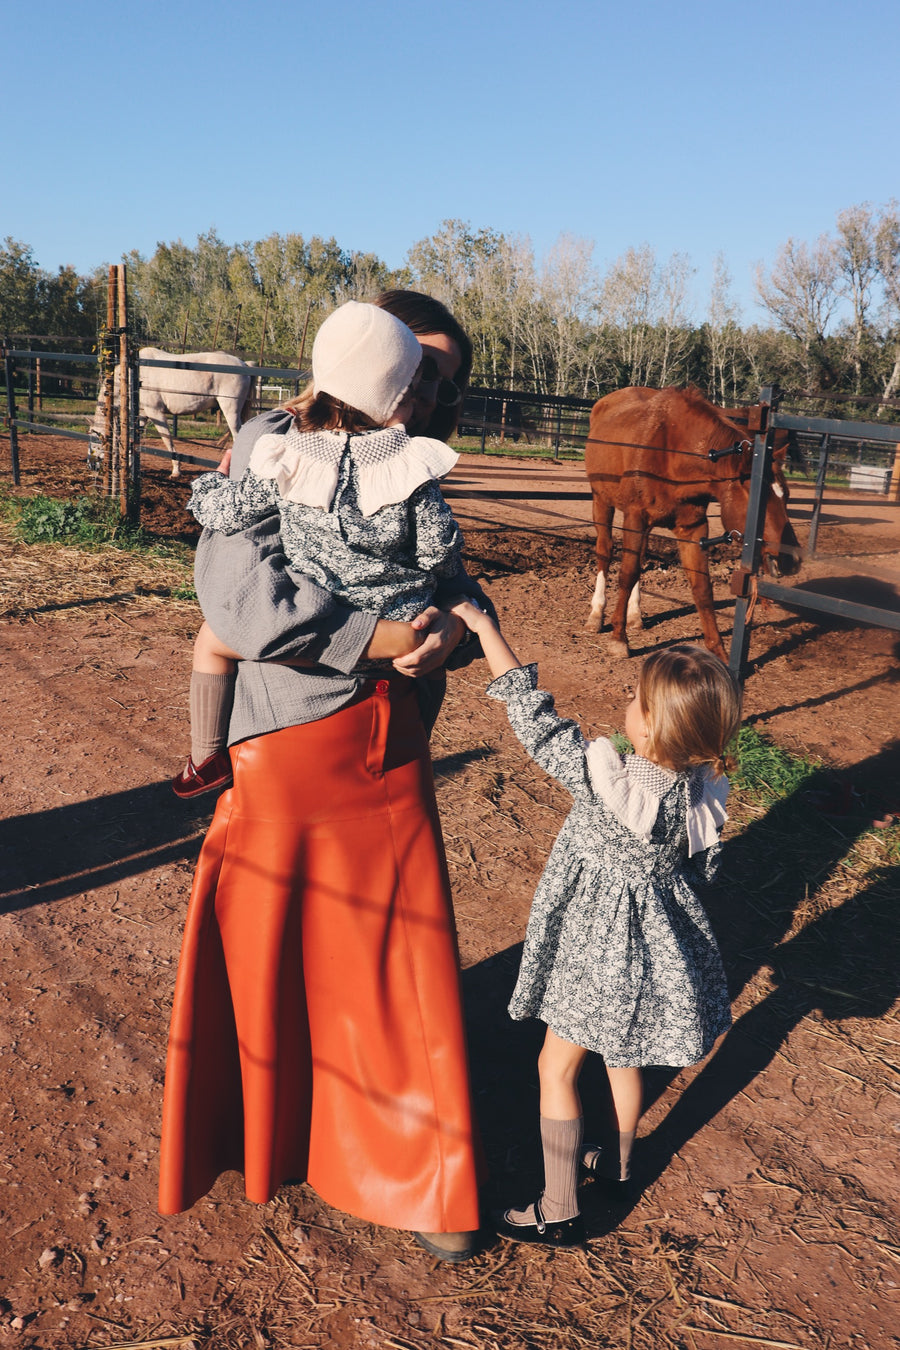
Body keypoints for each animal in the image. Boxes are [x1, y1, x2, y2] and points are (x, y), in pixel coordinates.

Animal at [91, 351, 252, 477]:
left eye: (94, 439)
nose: (91, 465)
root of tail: (244, 364)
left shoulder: (156, 413)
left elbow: (167, 439)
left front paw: (176, 470)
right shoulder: (142, 414)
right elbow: (134, 438)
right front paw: (129, 465)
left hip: (230, 411)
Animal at [585, 388, 804, 661]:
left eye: (786, 496)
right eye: (759, 500)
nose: (791, 559)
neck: (673, 453)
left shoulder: (692, 528)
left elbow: (702, 588)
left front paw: (719, 653)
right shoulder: (634, 518)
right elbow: (626, 574)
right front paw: (618, 639)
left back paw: (635, 614)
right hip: (601, 500)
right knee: (604, 551)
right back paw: (596, 614)